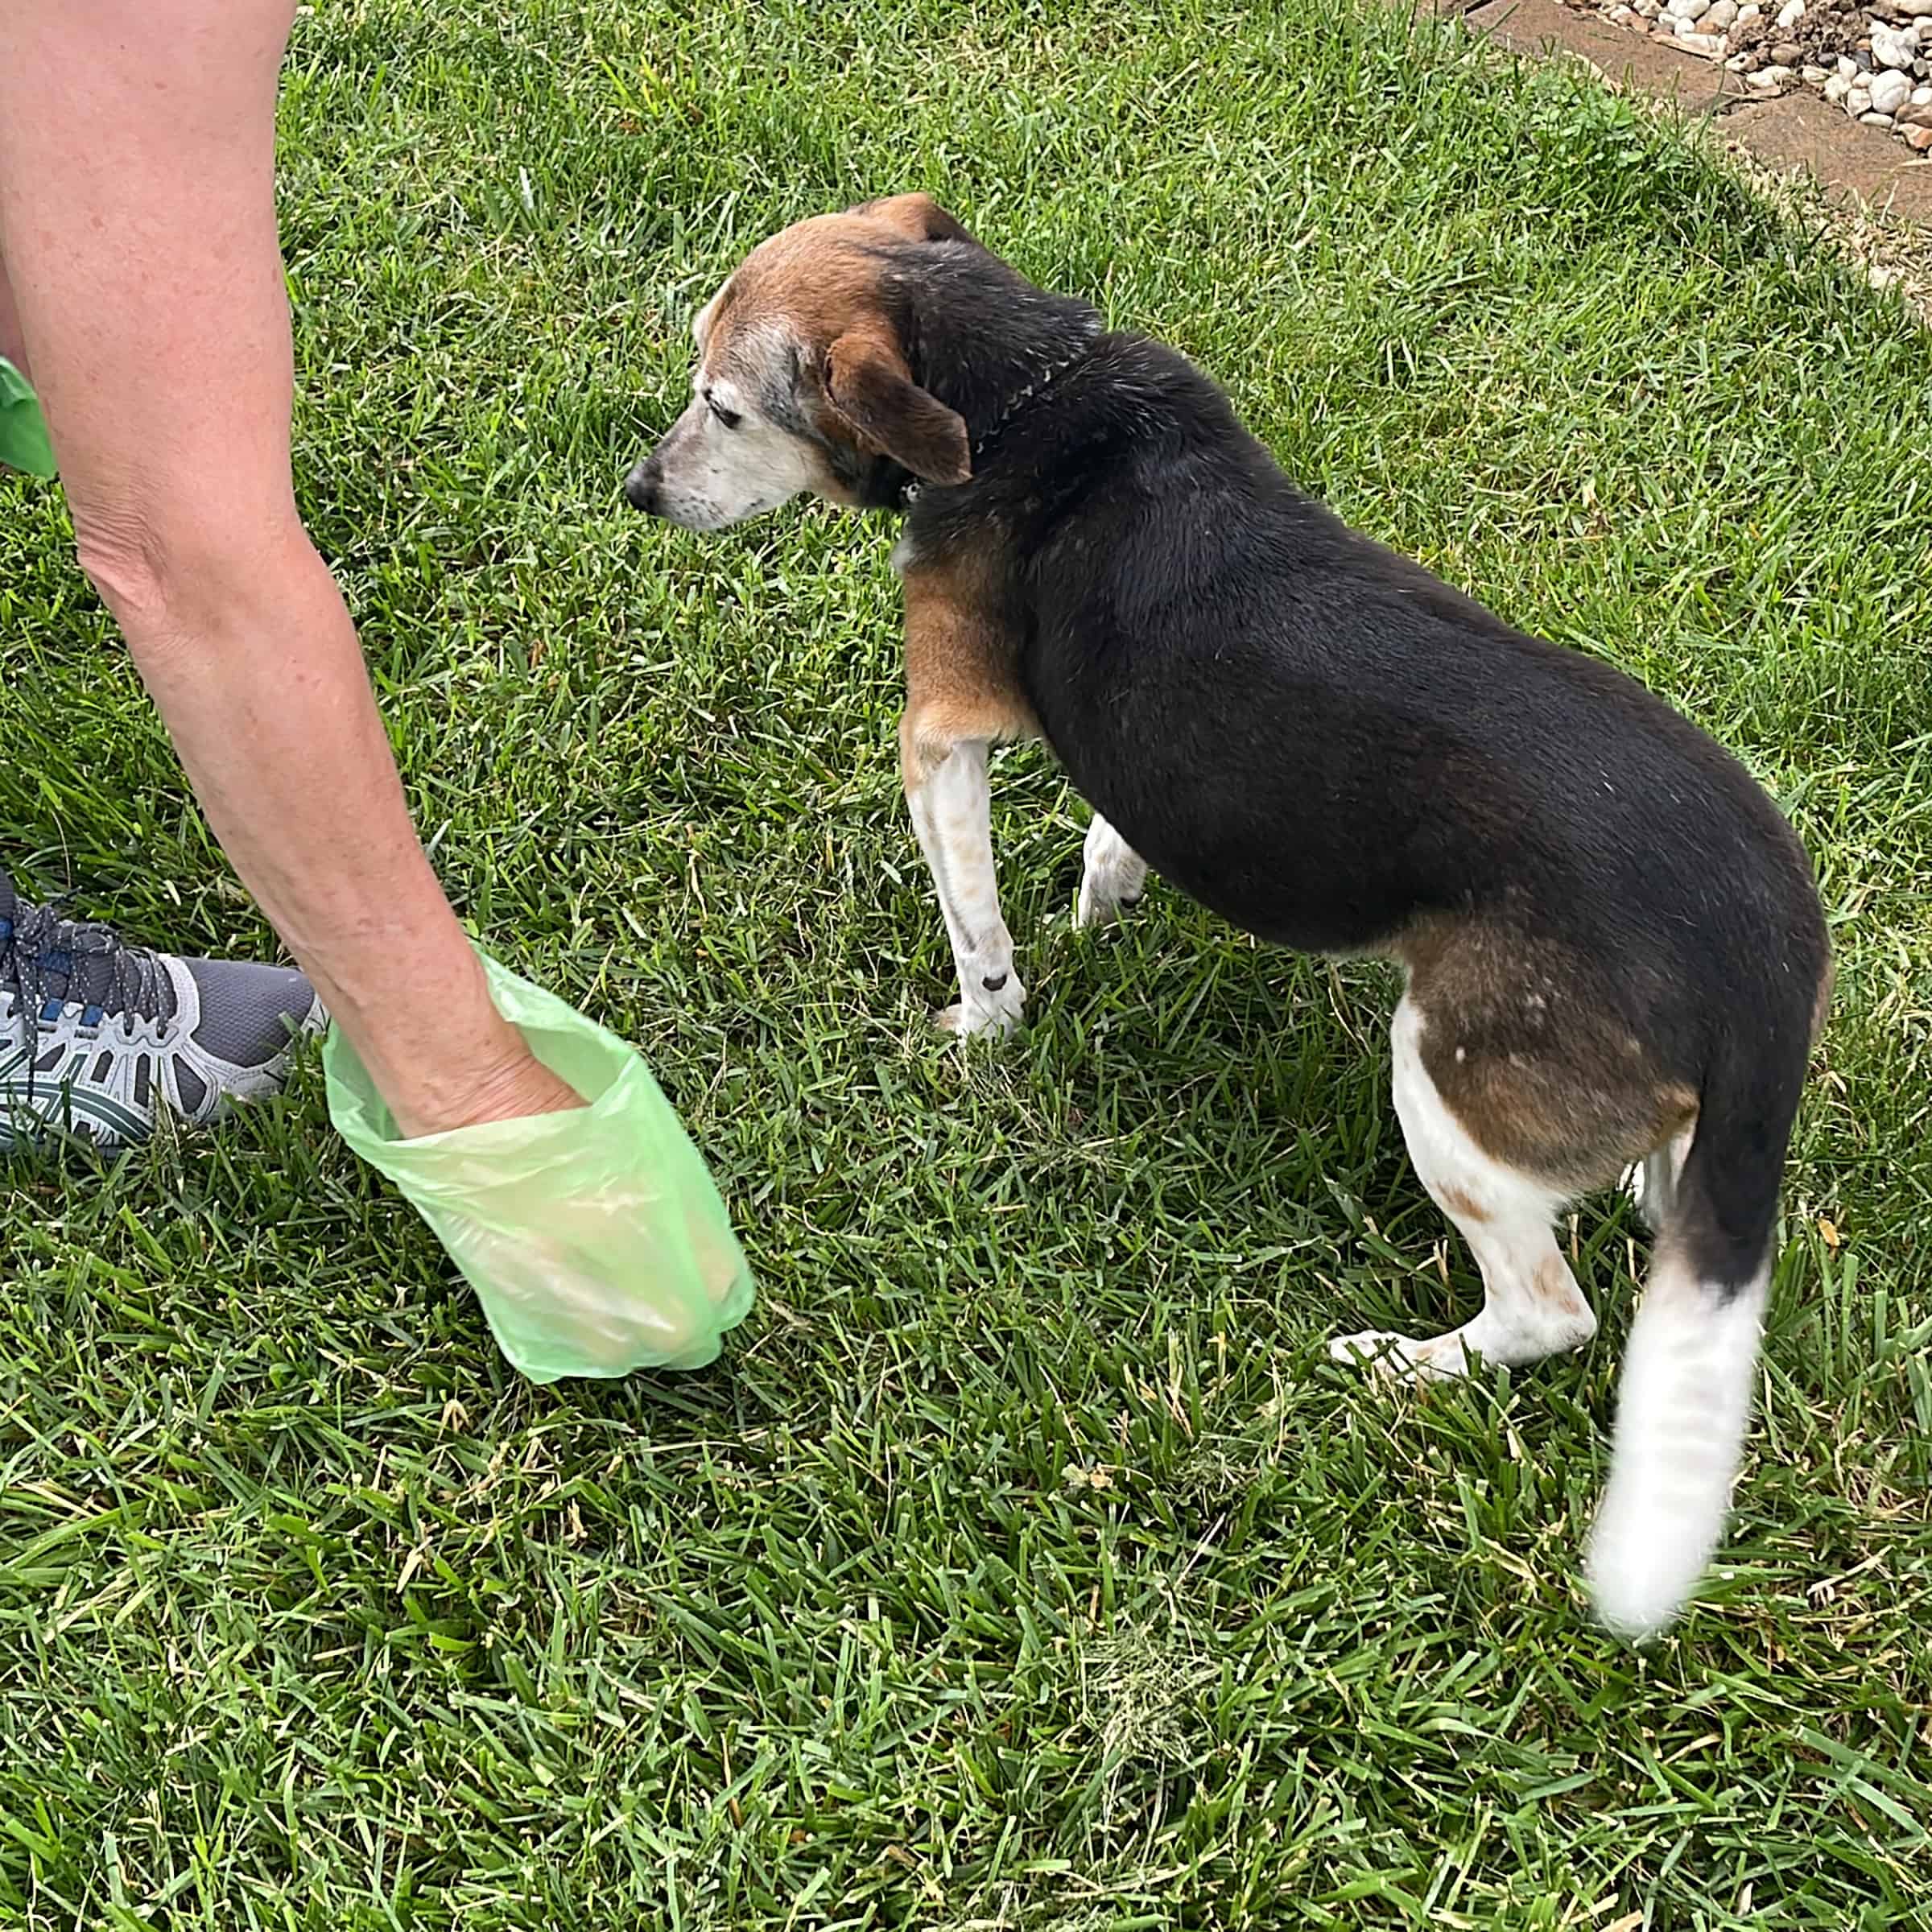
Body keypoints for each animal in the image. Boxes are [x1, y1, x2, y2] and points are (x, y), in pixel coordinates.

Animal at [618, 196, 1823, 1638]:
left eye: (726, 407)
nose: (638, 492)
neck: (1026, 390)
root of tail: (1767, 956)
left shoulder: (941, 734)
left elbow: (977, 933)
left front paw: (979, 1032)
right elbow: (1114, 827)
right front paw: (1107, 895)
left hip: (1444, 1080)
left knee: (1548, 1314)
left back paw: (1406, 1364)